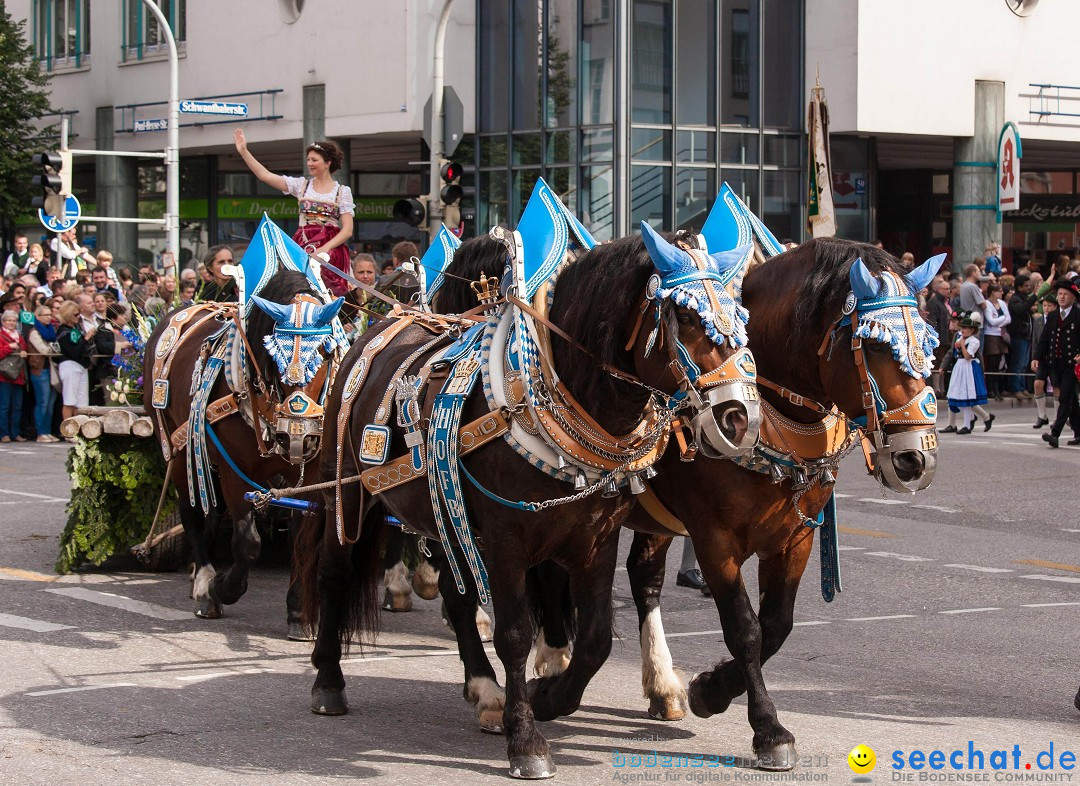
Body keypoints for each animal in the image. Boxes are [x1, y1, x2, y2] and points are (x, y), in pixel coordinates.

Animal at [144, 268, 336, 630]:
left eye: (325, 352)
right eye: (273, 357)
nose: (298, 435)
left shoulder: (312, 474)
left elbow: (300, 539)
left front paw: (299, 612)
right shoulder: (235, 469)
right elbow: (247, 543)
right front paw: (221, 590)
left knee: (212, 512)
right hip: (179, 450)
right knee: (193, 512)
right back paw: (203, 580)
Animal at [302, 228, 760, 781]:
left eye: (739, 315)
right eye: (689, 318)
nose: (740, 420)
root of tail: (379, 326)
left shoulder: (596, 539)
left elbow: (596, 638)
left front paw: (550, 698)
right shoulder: (506, 539)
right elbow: (516, 634)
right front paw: (527, 740)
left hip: (445, 515)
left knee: (457, 598)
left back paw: (484, 690)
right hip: (347, 495)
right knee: (334, 574)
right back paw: (329, 681)